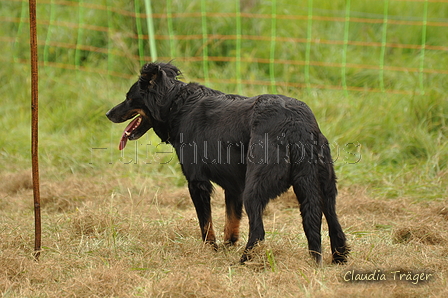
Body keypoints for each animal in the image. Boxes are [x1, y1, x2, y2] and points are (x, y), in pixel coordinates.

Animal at [106, 61, 350, 264]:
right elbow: (231, 222)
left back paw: (244, 261)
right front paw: (226, 246)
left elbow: (206, 224)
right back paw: (337, 259)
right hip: (324, 187)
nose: (108, 113)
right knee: (334, 225)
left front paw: (210, 250)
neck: (178, 104)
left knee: (258, 232)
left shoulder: (197, 183)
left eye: (129, 98)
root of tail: (297, 124)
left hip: (256, 187)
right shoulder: (234, 186)